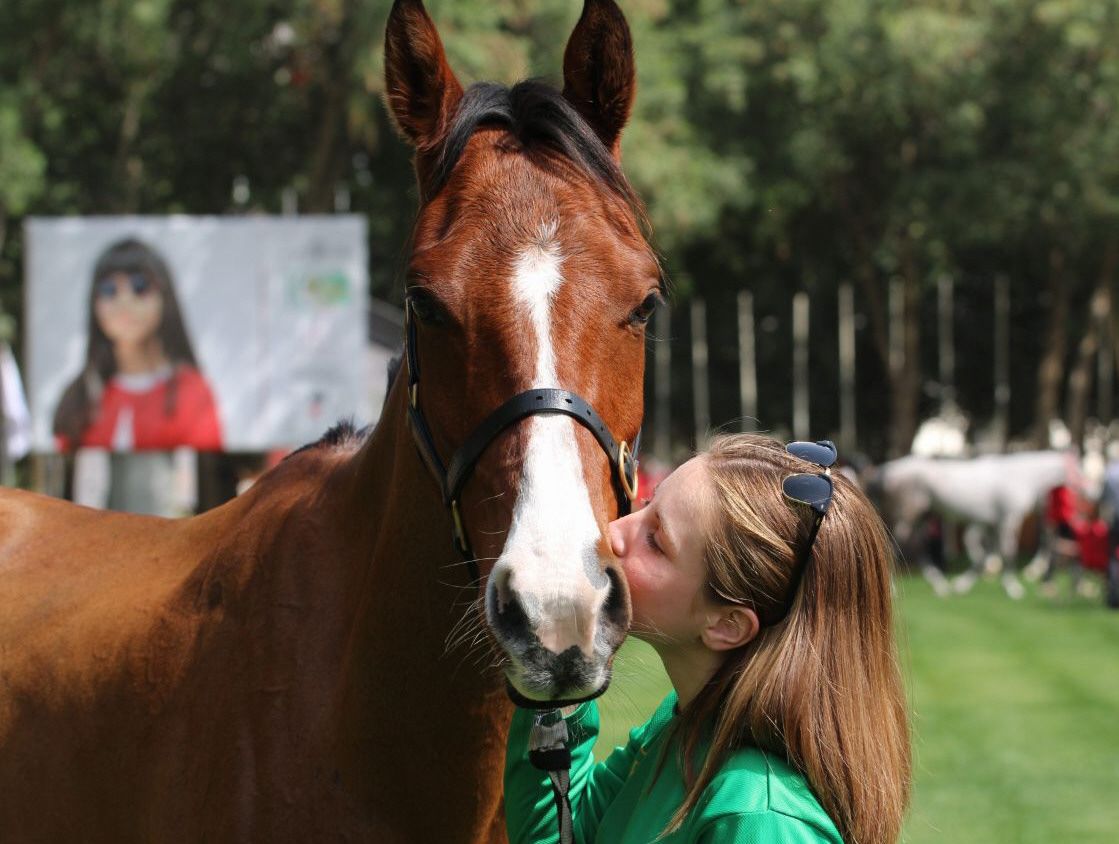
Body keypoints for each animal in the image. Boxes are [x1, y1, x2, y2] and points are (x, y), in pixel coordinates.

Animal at [872, 450, 1074, 598]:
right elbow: (1006, 553)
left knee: (917, 546)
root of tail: (887, 469)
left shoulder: (992, 524)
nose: (1060, 520)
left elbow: (986, 556)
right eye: (1078, 474)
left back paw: (939, 585)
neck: (1018, 477)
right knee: (895, 546)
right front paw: (1013, 587)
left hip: (922, 516)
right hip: (909, 515)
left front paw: (963, 585)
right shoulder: (1007, 520)